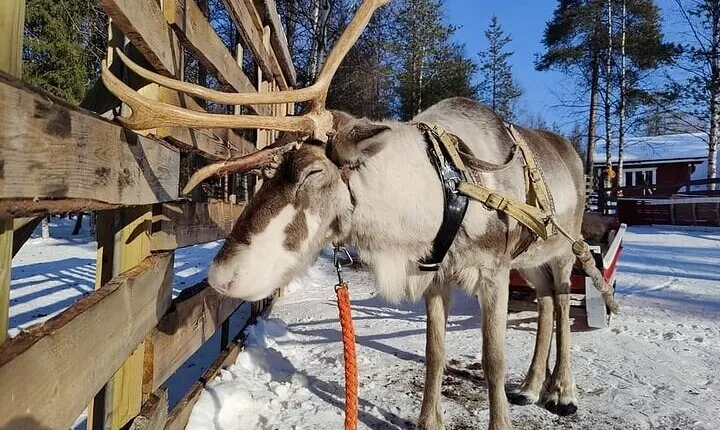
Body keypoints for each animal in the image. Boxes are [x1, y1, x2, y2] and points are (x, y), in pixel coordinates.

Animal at [100, 1, 618, 428]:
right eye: (270, 172)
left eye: (311, 172)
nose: (221, 276)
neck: (436, 196)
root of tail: (573, 153)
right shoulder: (436, 277)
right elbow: (434, 353)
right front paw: (429, 422)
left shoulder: (492, 273)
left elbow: (492, 361)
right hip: (530, 261)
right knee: (548, 301)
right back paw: (532, 387)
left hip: (562, 249)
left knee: (563, 302)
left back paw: (562, 392)